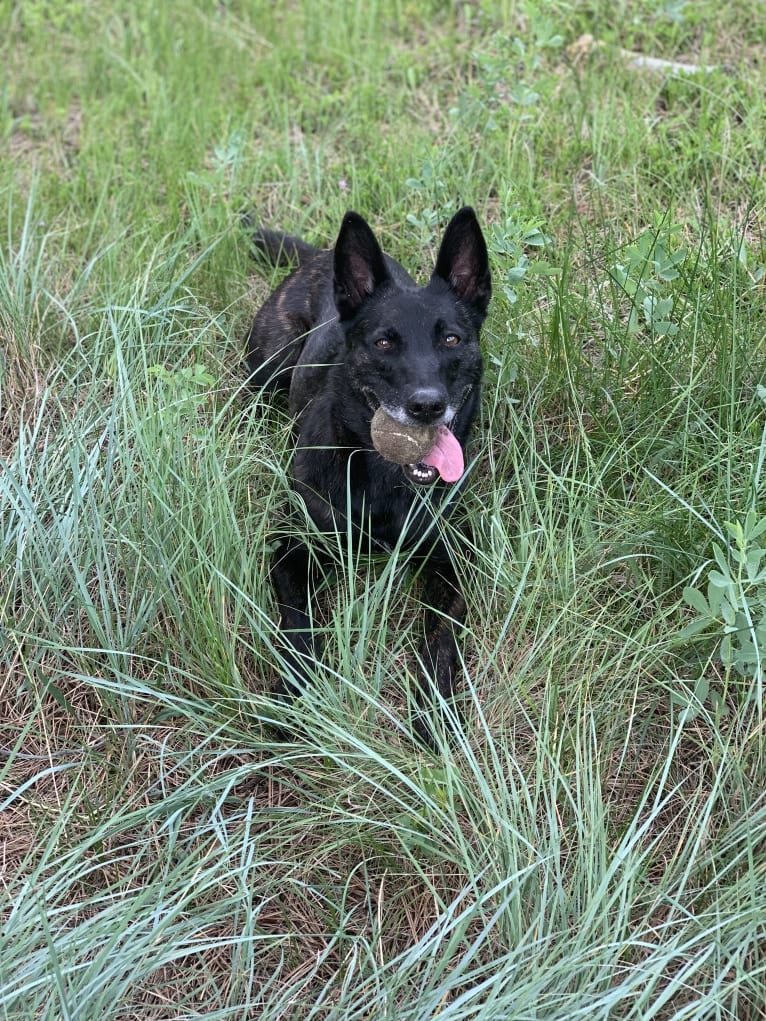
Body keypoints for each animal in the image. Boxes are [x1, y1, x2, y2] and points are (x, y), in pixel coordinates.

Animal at [244, 207, 492, 747]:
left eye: (451, 338)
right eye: (383, 342)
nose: (426, 406)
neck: (383, 479)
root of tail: (319, 256)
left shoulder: (448, 565)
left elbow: (440, 637)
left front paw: (434, 709)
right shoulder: (291, 550)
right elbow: (299, 622)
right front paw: (293, 692)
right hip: (267, 372)